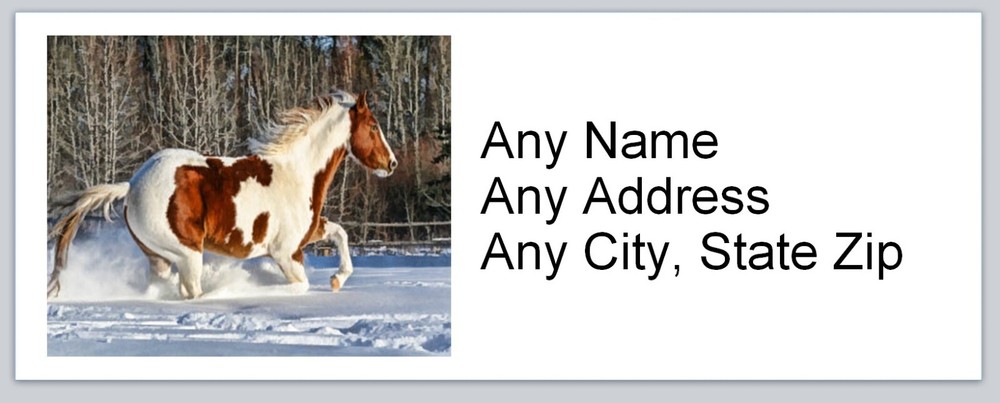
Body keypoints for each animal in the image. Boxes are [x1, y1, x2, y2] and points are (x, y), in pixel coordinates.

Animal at [47, 90, 397, 300]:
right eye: (373, 125)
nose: (391, 163)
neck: (298, 173)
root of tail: (132, 185)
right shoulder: (285, 252)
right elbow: (300, 285)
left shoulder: (306, 234)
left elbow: (340, 233)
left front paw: (337, 279)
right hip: (188, 253)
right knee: (192, 291)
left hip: (159, 258)